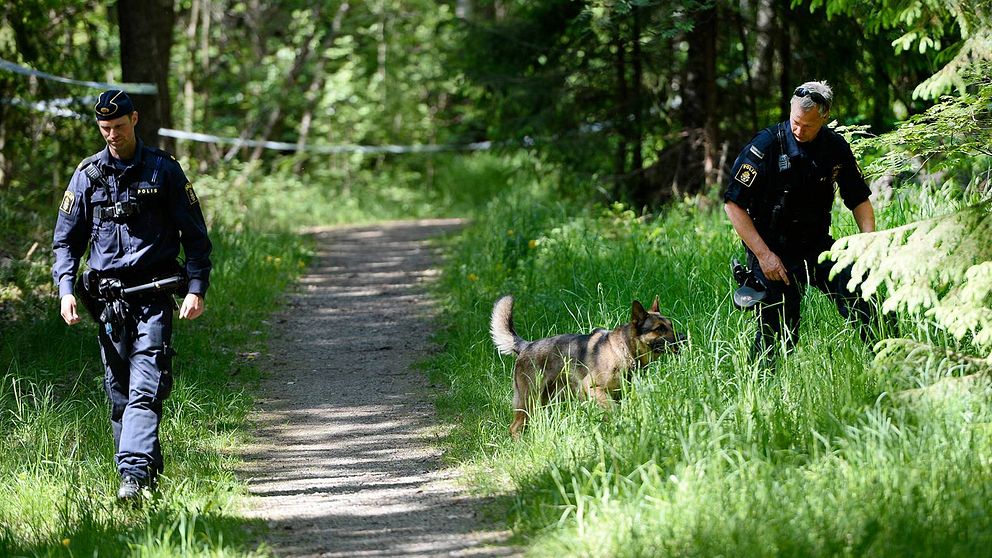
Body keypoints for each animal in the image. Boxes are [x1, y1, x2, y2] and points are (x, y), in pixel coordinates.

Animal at [492, 298, 684, 442]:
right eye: (659, 328)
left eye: (671, 325)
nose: (683, 338)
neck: (625, 350)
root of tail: (526, 346)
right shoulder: (591, 388)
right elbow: (613, 409)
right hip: (529, 400)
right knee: (514, 427)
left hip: (544, 400)